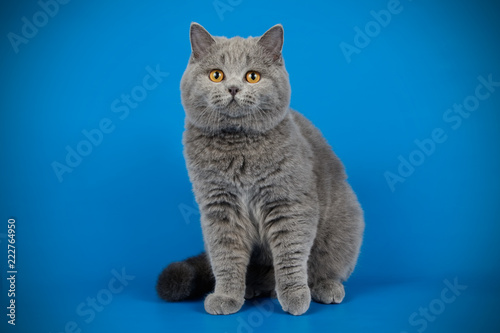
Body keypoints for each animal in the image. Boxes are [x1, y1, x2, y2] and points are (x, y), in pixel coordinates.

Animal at [156, 22, 364, 314]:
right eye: (216, 75)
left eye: (252, 76)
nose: (233, 88)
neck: (238, 148)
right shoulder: (219, 207)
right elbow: (226, 256)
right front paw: (227, 296)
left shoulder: (288, 203)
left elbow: (290, 253)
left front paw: (295, 296)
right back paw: (251, 289)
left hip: (345, 224)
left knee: (326, 266)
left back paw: (324, 287)